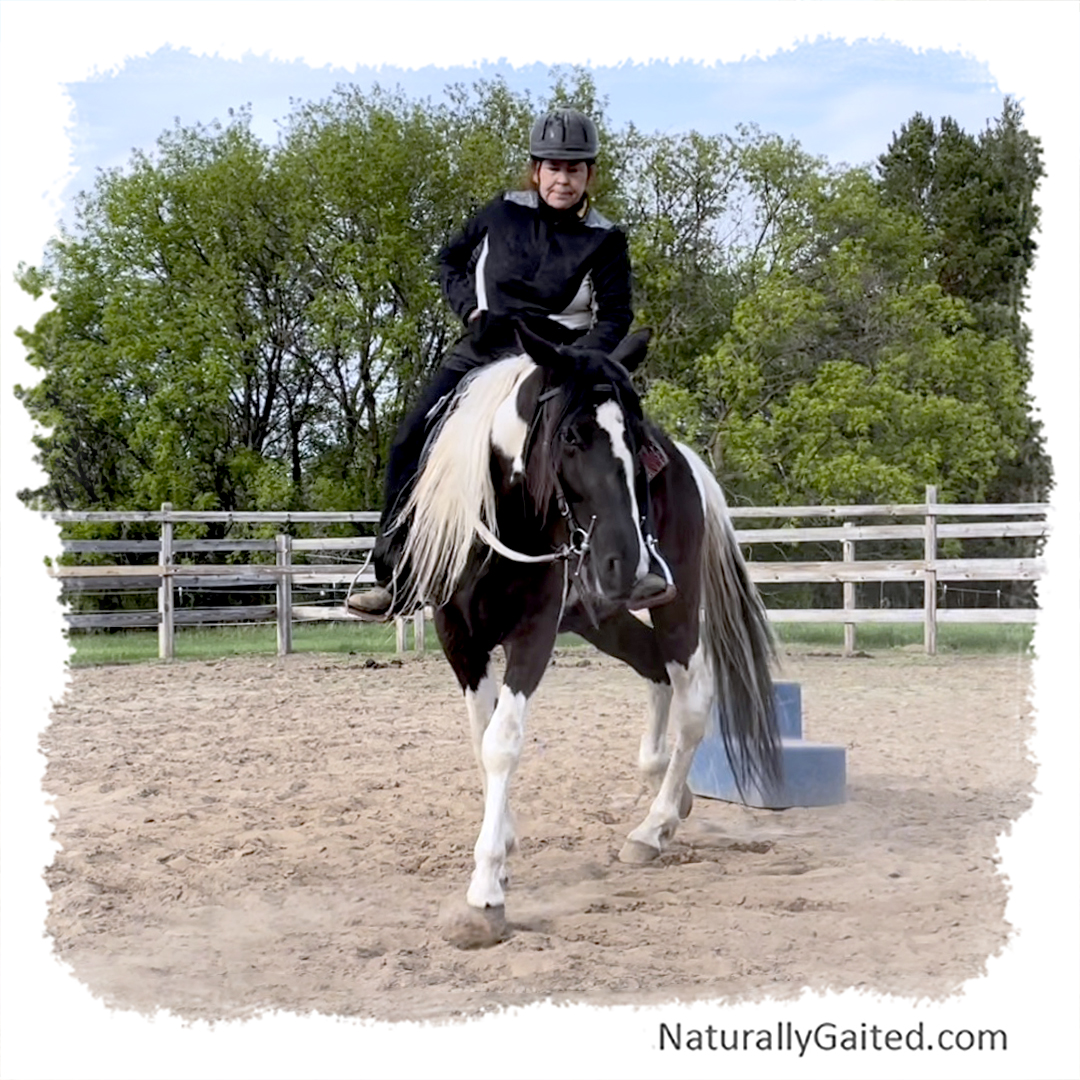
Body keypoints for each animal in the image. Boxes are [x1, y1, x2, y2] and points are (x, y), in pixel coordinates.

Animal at [389, 323, 780, 941]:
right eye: (571, 435)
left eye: (636, 441)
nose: (629, 562)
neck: (503, 523)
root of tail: (690, 462)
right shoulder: (460, 639)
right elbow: (481, 739)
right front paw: (503, 845)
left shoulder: (534, 634)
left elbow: (502, 742)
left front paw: (485, 893)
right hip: (605, 615)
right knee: (654, 668)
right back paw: (672, 798)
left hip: (676, 604)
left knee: (693, 701)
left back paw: (654, 826)